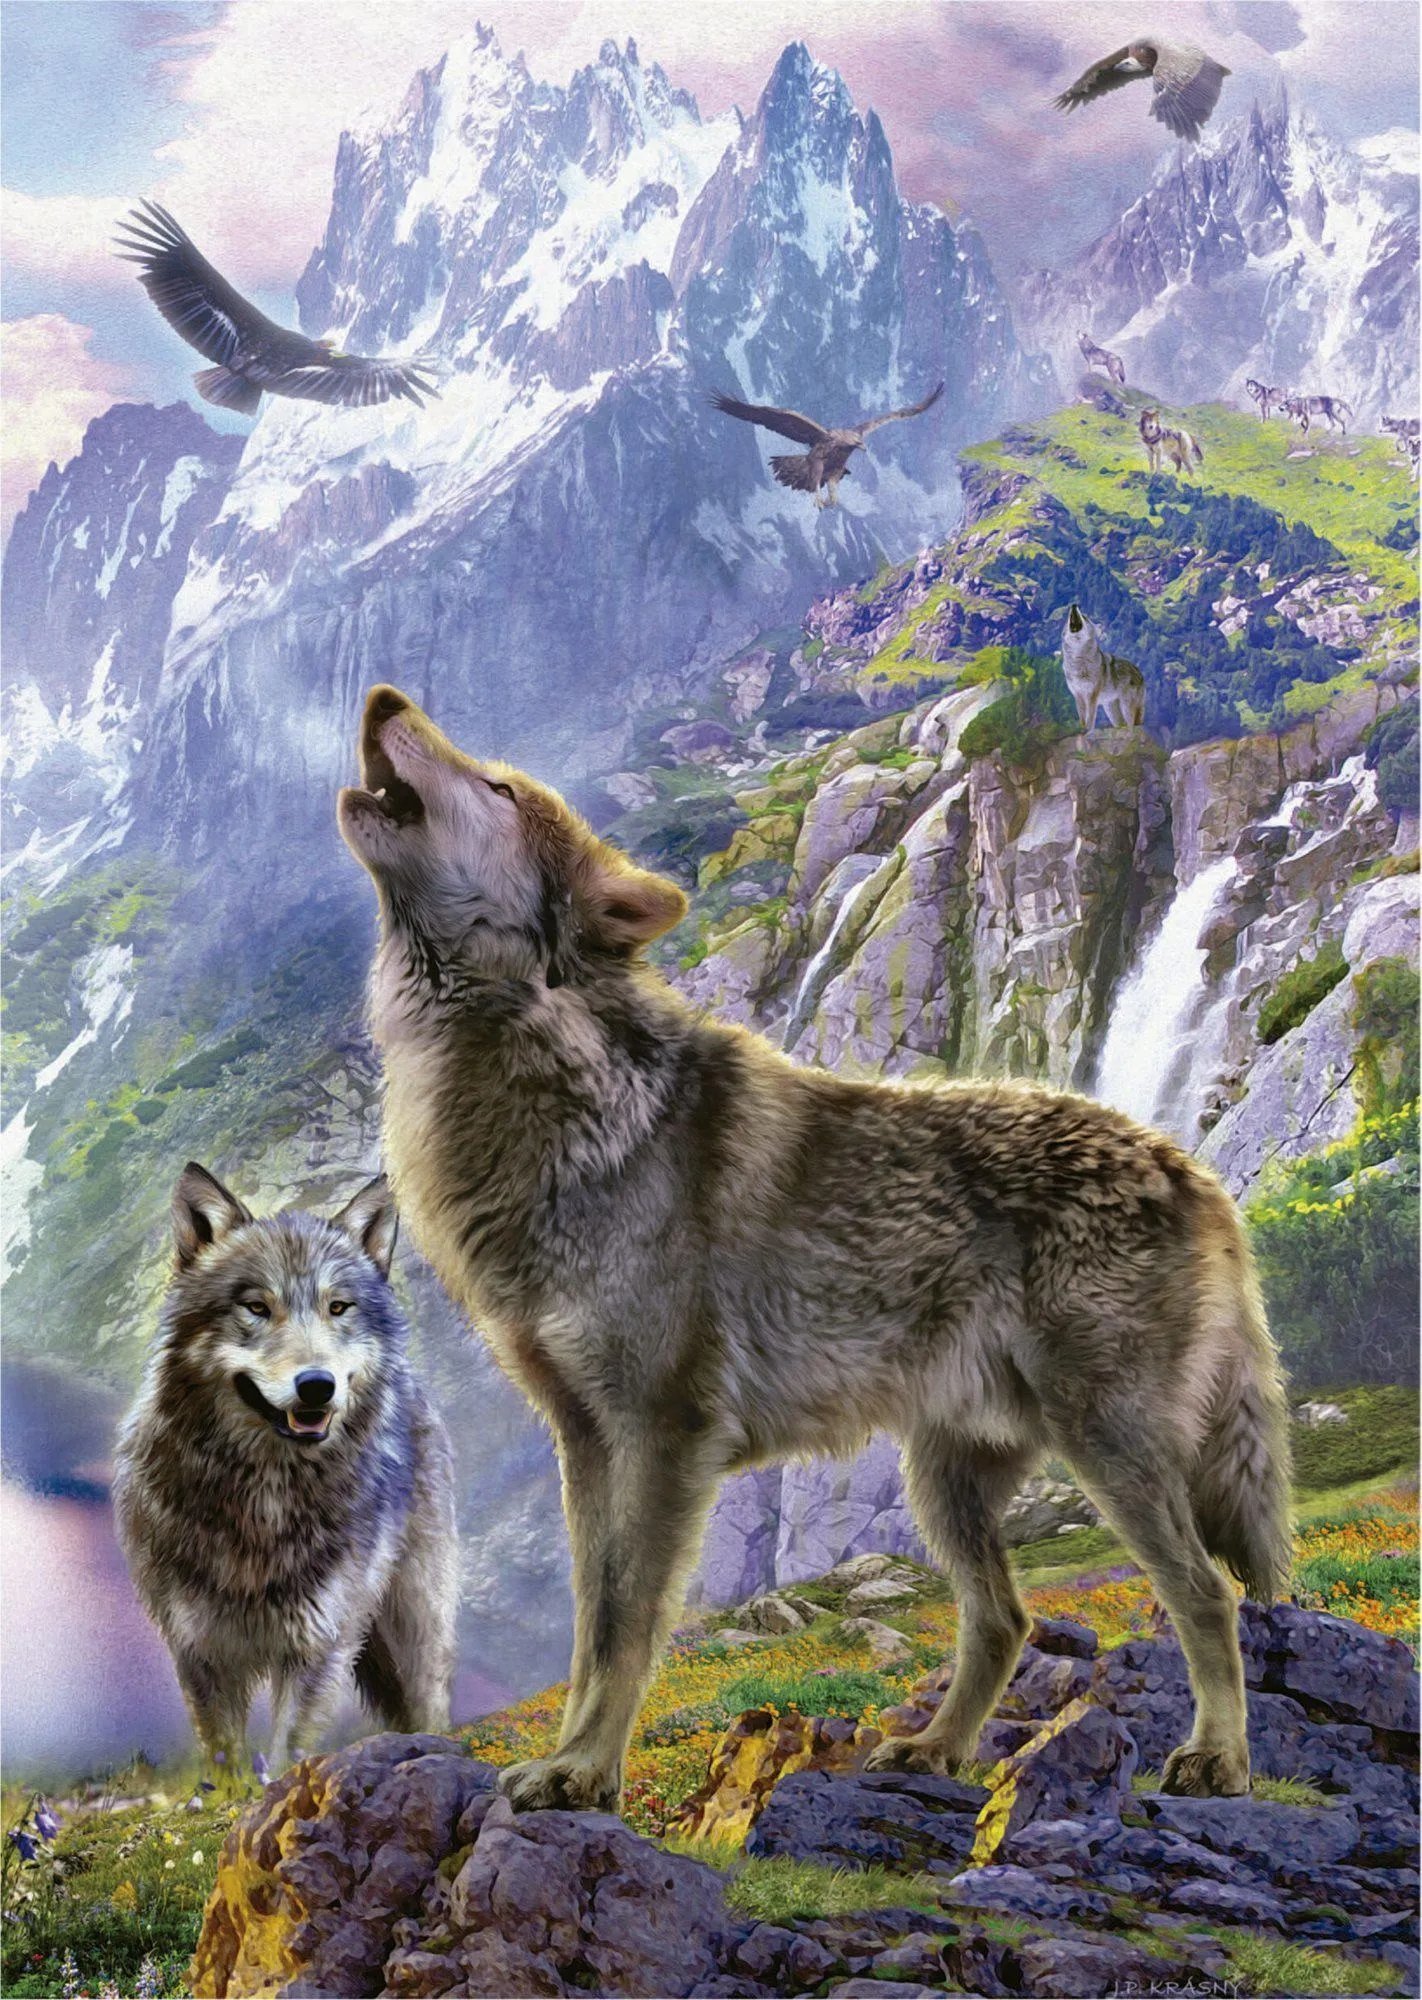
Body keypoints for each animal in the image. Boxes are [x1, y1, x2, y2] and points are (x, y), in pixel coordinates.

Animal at [113, 1164, 459, 1771]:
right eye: (256, 1307)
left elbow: (285, 1755)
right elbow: (225, 1759)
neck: (266, 1499)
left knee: (430, 1703)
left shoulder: (319, 1644)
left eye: (338, 1308)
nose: (317, 1385)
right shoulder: (199, 1651)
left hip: (410, 1628)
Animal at [339, 685, 1291, 1814]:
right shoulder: (587, 1439)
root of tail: (1194, 1170)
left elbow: (626, 1623)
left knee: (1207, 1592)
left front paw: (584, 1771)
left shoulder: (663, 1434)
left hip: (1109, 1449)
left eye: (496, 785)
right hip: (947, 1479)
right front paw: (573, 1763)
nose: (384, 697)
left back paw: (1218, 1758)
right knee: (1005, 1617)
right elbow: (588, 1626)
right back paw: (935, 1748)